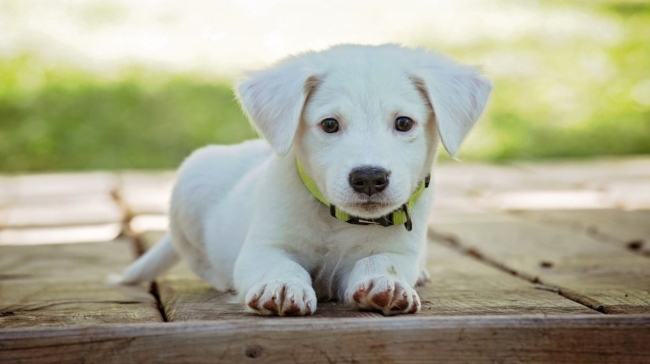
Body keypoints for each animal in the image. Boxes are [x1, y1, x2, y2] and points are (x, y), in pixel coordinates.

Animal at [119, 44, 488, 314]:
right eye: (329, 124)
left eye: (404, 123)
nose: (369, 178)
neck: (337, 220)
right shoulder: (264, 247)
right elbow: (281, 265)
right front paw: (282, 287)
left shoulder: (398, 251)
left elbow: (382, 262)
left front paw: (386, 284)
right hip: (190, 185)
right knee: (200, 260)